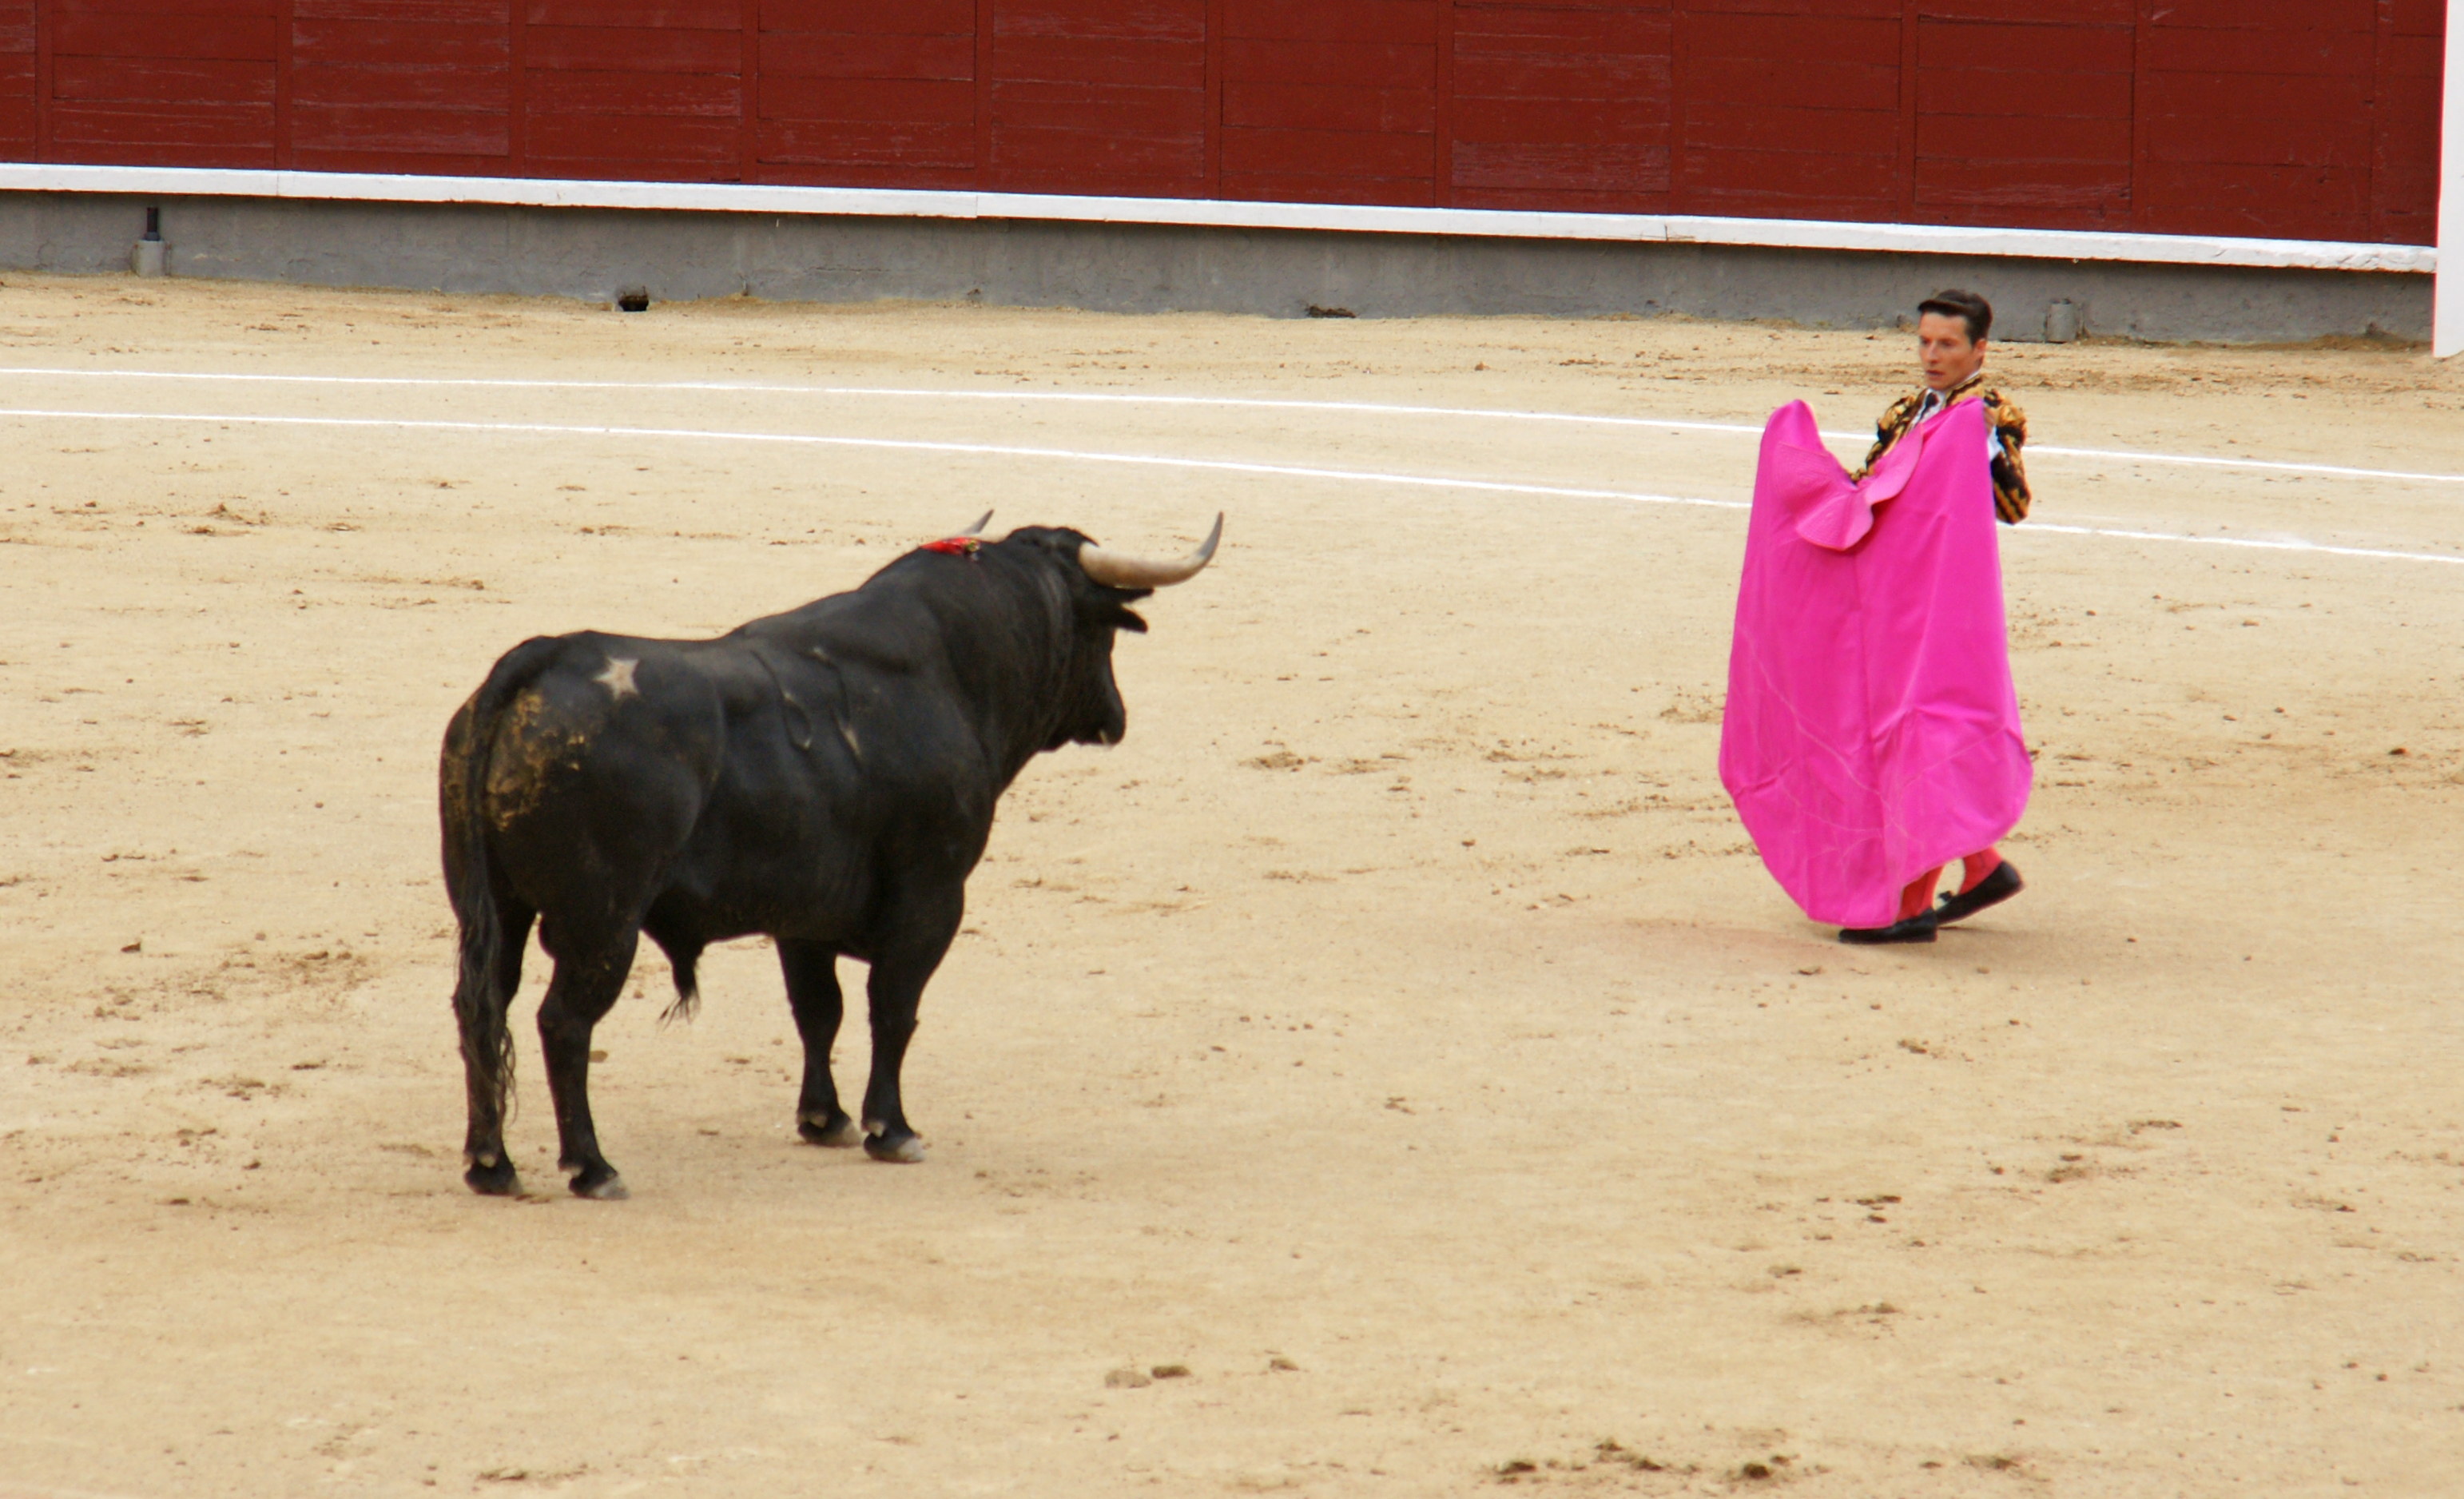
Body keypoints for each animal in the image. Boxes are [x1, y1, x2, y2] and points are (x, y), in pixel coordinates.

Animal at [439, 514, 1222, 1199]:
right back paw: (591, 1167)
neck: (951, 668)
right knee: (564, 1024)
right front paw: (891, 1129)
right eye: (1102, 633)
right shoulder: (933, 895)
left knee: (482, 1007)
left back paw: (490, 1165)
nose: (1115, 718)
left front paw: (825, 1119)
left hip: (496, 913)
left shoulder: (803, 912)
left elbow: (819, 1010)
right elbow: (892, 1007)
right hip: (603, 923)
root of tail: (538, 661)